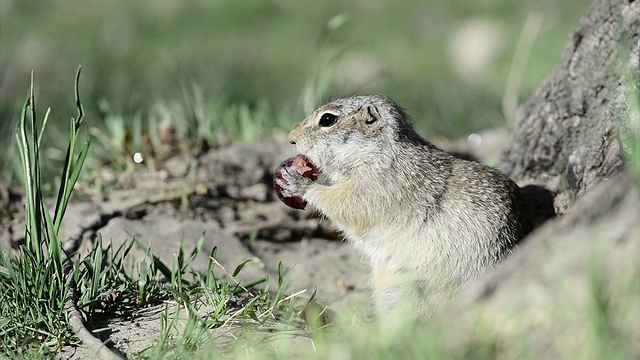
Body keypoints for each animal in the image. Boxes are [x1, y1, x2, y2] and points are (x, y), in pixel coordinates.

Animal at [278, 94, 532, 316]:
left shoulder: (378, 187)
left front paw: (299, 183)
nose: (291, 137)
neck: (378, 153)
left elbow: (345, 204)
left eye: (328, 120)